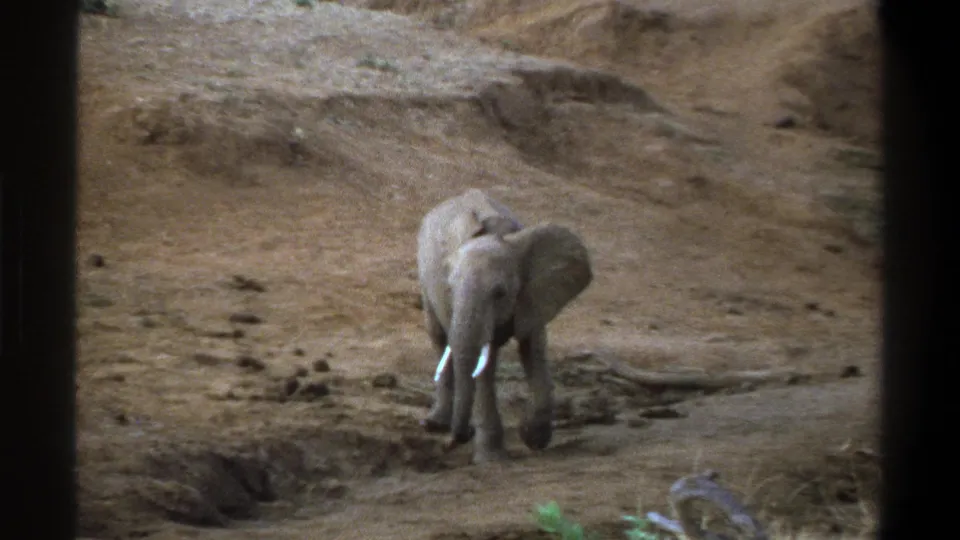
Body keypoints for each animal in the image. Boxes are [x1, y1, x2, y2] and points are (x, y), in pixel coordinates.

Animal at [416, 188, 593, 463]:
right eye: (450, 289)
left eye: (500, 293)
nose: (457, 439)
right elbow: (483, 363)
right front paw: (491, 459)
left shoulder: (532, 292)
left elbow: (534, 346)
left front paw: (532, 437)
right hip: (424, 279)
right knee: (438, 337)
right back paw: (436, 424)